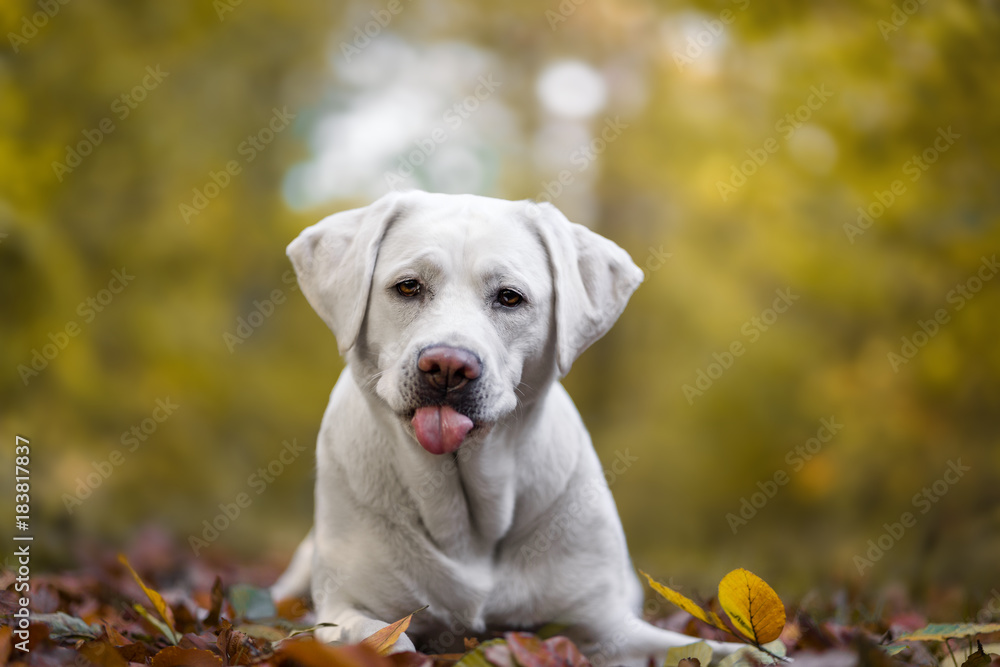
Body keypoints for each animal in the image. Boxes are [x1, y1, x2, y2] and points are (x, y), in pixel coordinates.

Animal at [274, 190, 744, 664]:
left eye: (509, 297)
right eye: (408, 286)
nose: (448, 366)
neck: (469, 518)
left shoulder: (610, 628)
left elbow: (725, 649)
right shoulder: (345, 607)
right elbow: (384, 638)